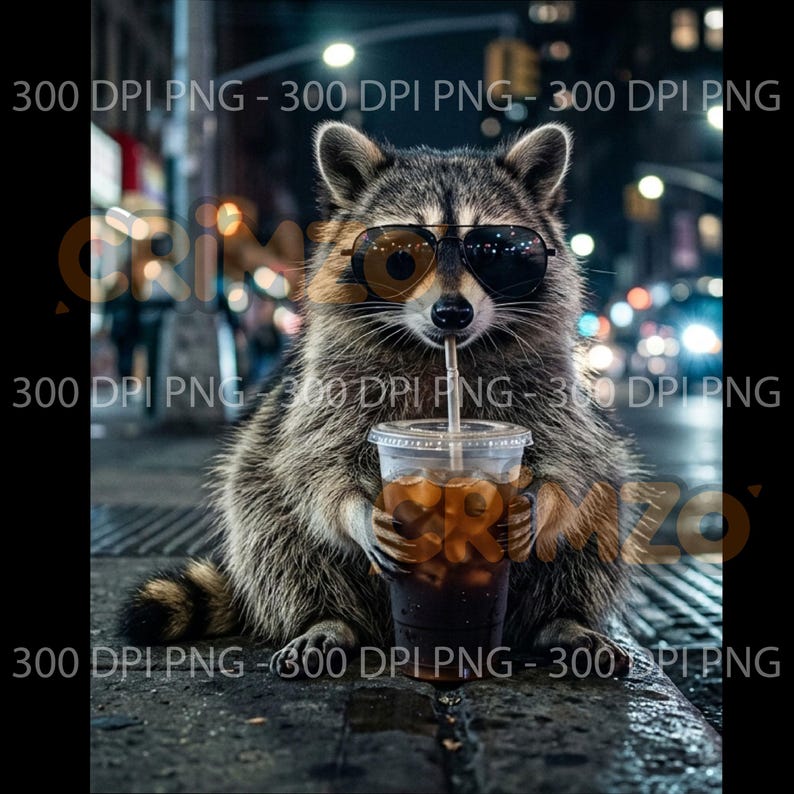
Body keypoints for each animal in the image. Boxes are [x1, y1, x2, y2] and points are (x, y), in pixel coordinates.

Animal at [121, 122, 641, 676]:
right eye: (399, 256)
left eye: (496, 251)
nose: (451, 313)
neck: (439, 351)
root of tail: (385, 632)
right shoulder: (330, 388)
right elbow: (318, 466)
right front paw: (357, 511)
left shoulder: (550, 385)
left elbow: (573, 463)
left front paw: (539, 502)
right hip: (266, 491)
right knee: (269, 524)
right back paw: (326, 619)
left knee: (601, 513)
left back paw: (561, 620)